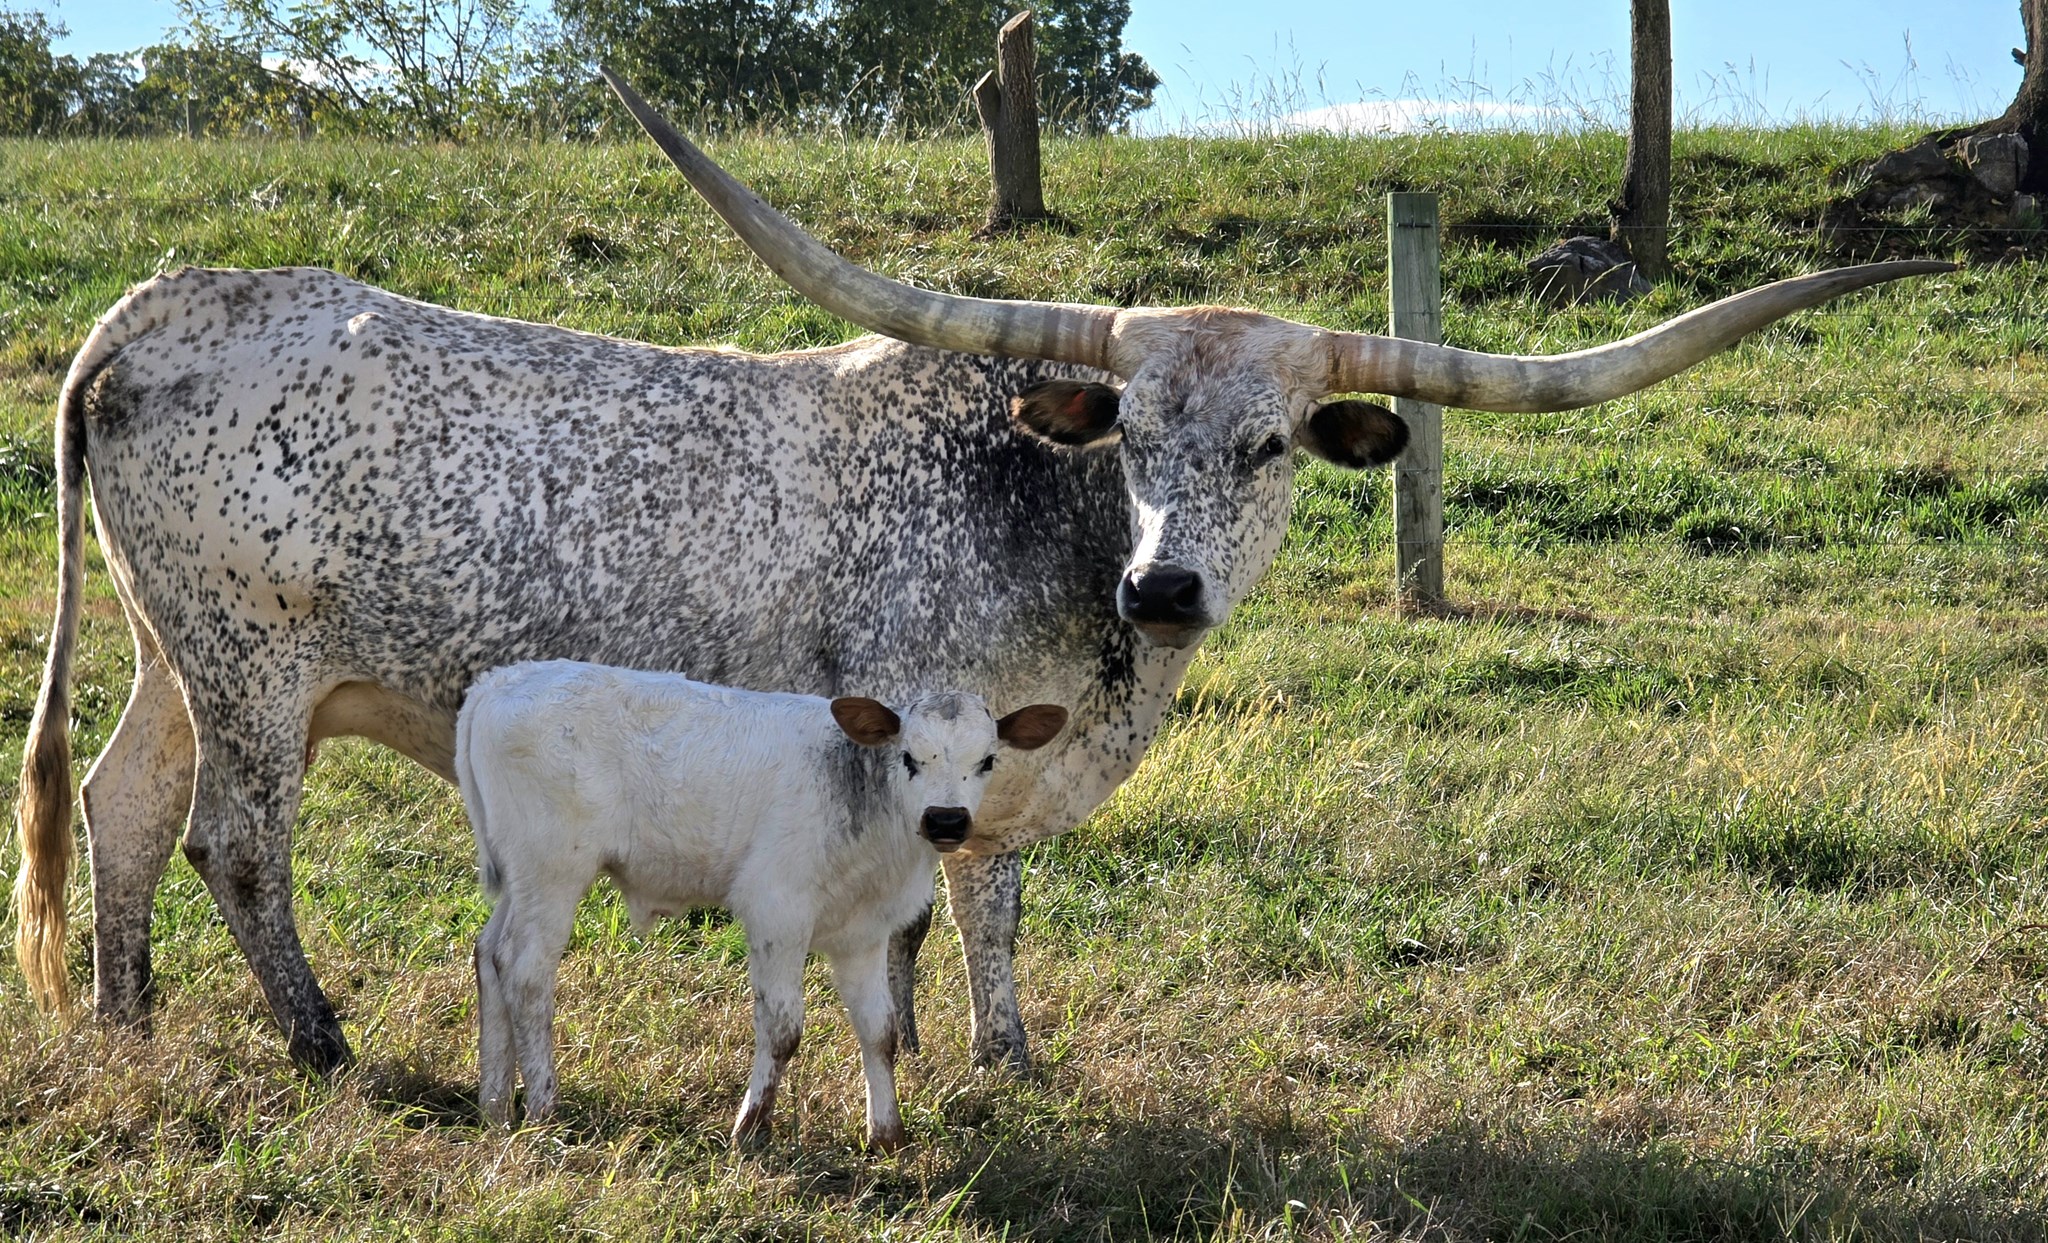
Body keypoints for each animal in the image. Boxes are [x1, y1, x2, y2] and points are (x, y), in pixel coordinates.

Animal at [10, 70, 1953, 1074]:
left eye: (1268, 446)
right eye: (1130, 436)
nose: (1168, 591)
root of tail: (160, 302)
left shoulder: (1010, 769)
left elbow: (998, 903)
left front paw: (1004, 1052)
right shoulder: (919, 732)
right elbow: (932, 903)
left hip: (181, 657)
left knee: (117, 807)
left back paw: (125, 1018)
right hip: (255, 667)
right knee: (231, 838)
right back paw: (319, 1040)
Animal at [458, 660, 1067, 1146]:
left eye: (988, 760)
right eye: (909, 758)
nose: (945, 820)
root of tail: (498, 682)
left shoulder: (863, 930)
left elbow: (880, 1028)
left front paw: (887, 1134)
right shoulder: (778, 911)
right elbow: (782, 1027)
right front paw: (750, 1129)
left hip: (520, 875)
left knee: (490, 953)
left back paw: (495, 1107)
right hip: (552, 870)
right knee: (526, 970)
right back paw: (543, 1110)